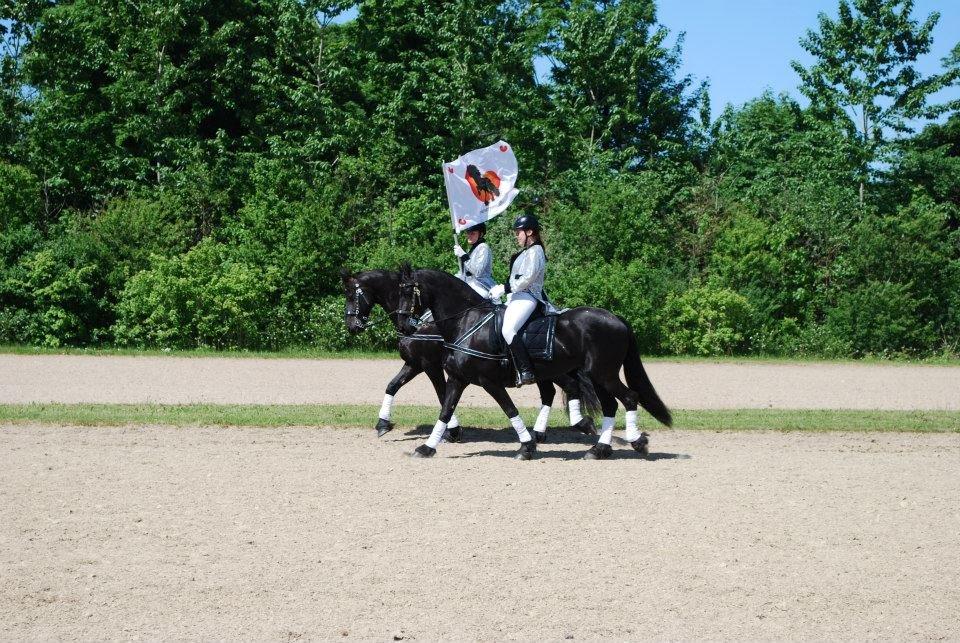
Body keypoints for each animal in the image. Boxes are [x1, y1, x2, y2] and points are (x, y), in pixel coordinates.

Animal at [338, 268, 592, 442]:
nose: (352, 327)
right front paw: (383, 423)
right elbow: (392, 386)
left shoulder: (430, 366)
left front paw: (452, 430)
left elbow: (442, 394)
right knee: (550, 392)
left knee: (562, 388)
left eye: (351, 295)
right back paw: (541, 433)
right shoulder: (414, 364)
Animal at [394, 266, 672, 458]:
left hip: (604, 374)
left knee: (629, 398)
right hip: (597, 377)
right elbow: (445, 410)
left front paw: (527, 446)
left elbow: (510, 409)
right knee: (609, 405)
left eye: (408, 291)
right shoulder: (457, 379)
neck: (468, 322)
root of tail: (617, 319)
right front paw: (427, 447)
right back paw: (599, 449)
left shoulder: (489, 381)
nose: (403, 326)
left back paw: (636, 441)